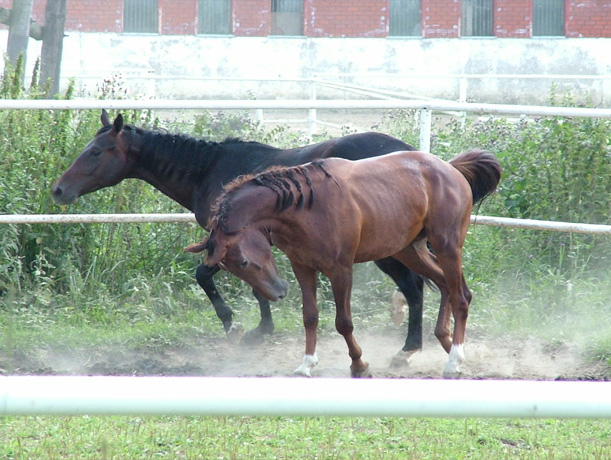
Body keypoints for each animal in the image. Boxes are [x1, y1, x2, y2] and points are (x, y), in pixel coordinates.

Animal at [50, 110, 428, 356]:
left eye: (95, 152)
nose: (58, 190)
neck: (211, 171)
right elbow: (256, 285)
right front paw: (261, 327)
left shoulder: (231, 241)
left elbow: (207, 276)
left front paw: (237, 326)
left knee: (414, 286)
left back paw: (409, 348)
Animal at [186, 151, 502, 378]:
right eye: (229, 266)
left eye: (243, 261)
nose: (279, 292)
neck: (304, 206)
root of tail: (450, 169)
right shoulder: (303, 267)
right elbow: (310, 316)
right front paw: (306, 364)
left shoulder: (340, 270)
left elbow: (344, 322)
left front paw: (359, 364)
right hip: (409, 250)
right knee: (446, 285)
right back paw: (444, 348)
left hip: (447, 246)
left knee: (461, 297)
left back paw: (454, 360)